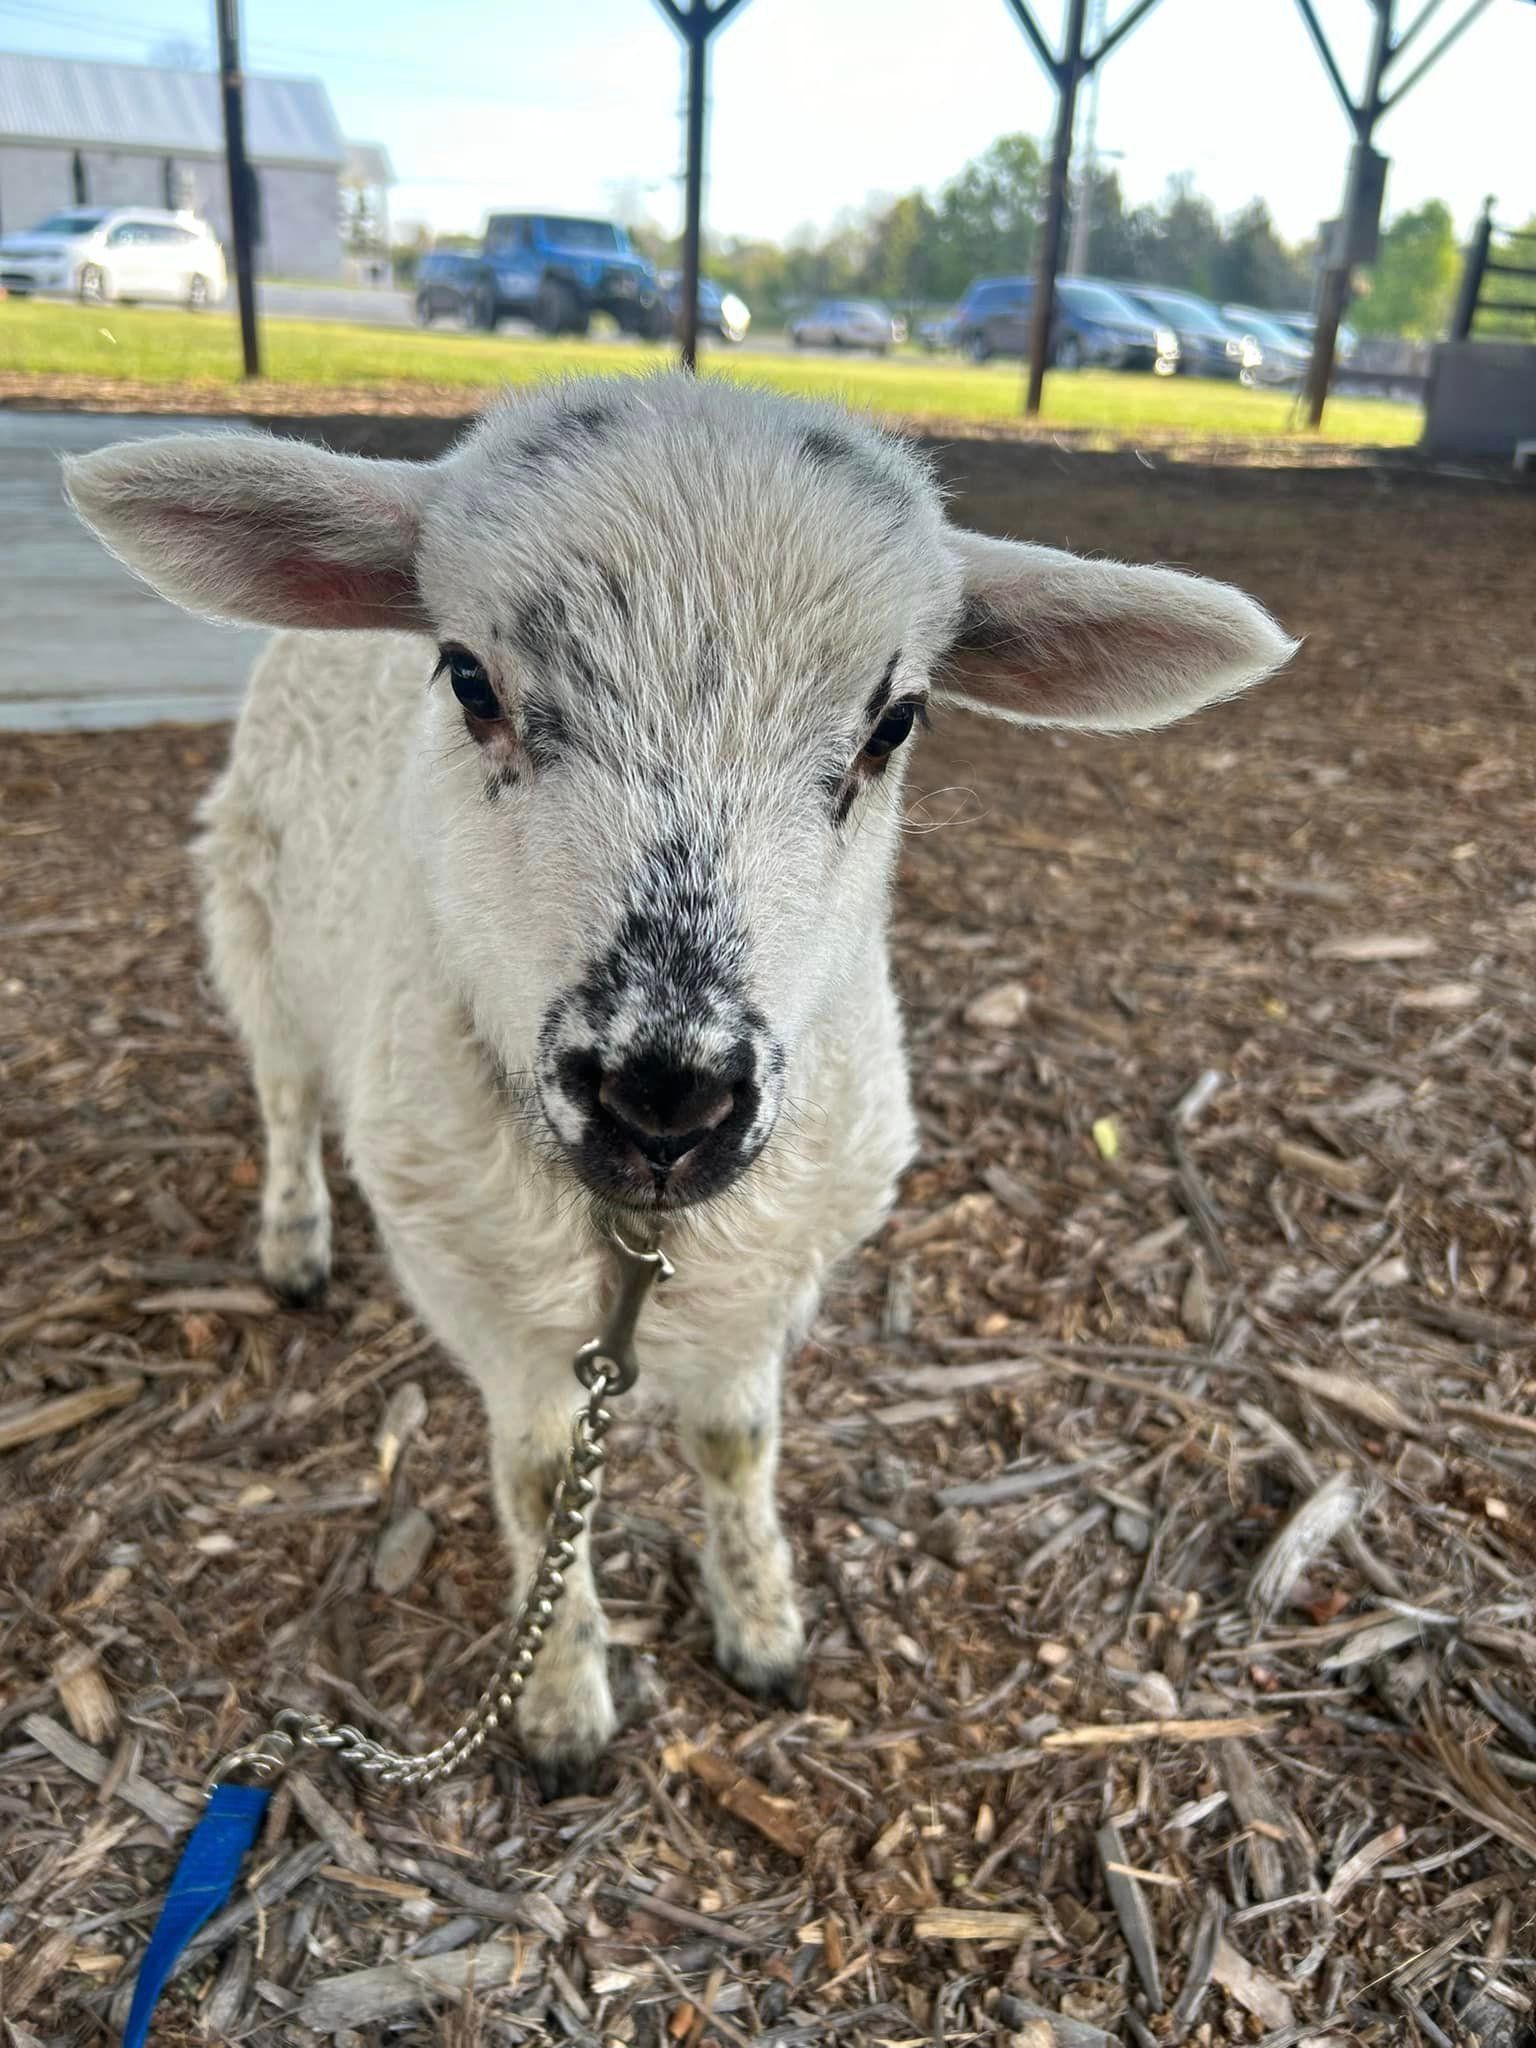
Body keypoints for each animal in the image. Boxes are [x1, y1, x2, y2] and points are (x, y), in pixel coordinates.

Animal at [65, 372, 1295, 1793]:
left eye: (895, 721)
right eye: (469, 677)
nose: (666, 1096)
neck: (635, 1231)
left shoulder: (777, 1274)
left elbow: (733, 1444)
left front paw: (761, 1626)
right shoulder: (481, 1291)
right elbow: (542, 1476)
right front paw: (561, 1701)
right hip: (250, 901)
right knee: (280, 1088)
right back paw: (294, 1238)